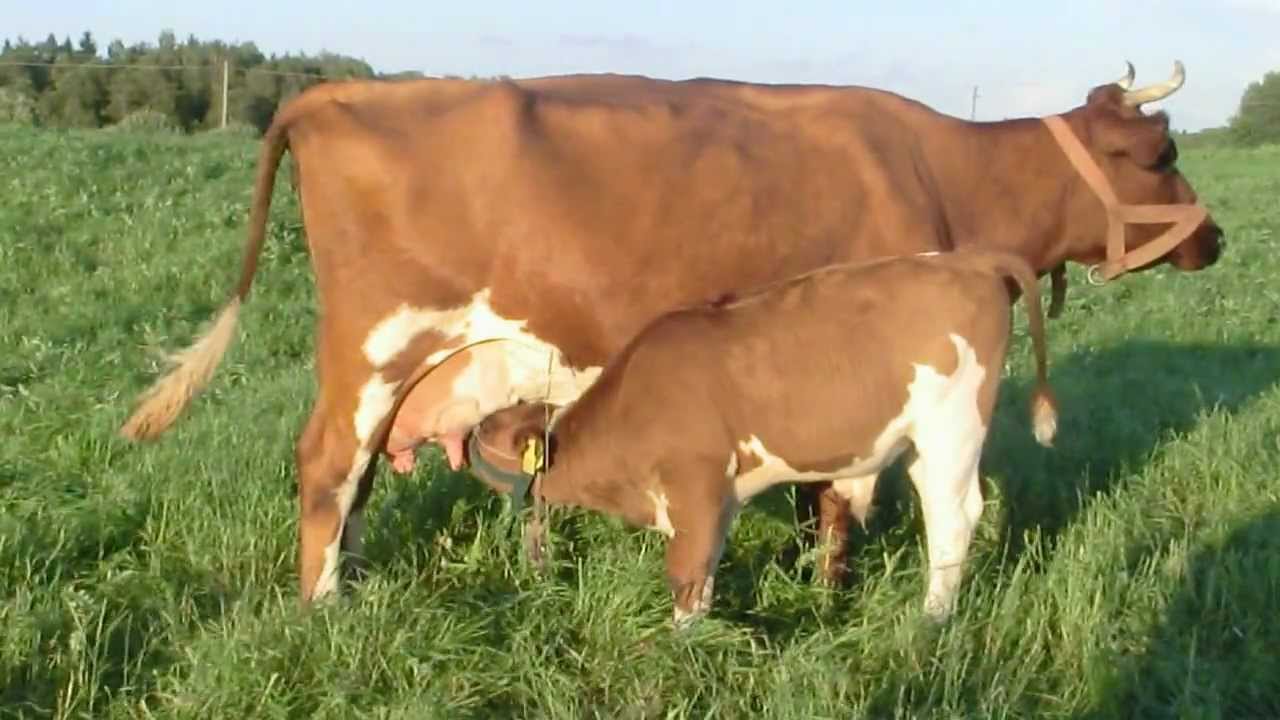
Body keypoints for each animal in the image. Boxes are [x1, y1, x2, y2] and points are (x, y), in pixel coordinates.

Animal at [464, 248, 1057, 625]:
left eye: (492, 426)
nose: (465, 435)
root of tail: (969, 259)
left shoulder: (693, 486)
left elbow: (685, 579)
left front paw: (681, 651)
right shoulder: (720, 499)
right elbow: (705, 574)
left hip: (951, 426)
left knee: (952, 520)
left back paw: (931, 621)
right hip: (917, 438)